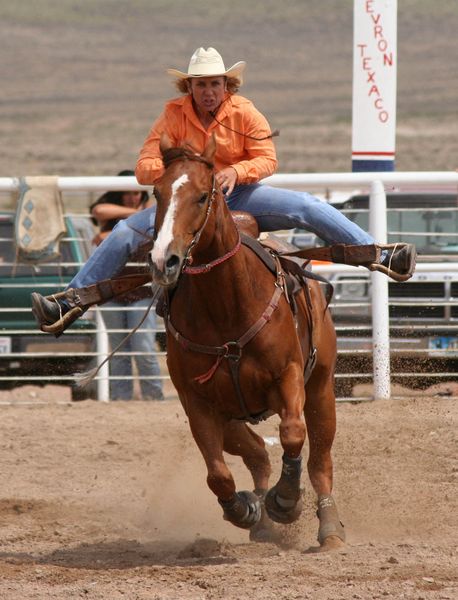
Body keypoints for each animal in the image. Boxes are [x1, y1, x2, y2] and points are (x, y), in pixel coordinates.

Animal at [149, 137, 344, 552]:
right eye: (156, 193)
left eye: (202, 195)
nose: (162, 261)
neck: (227, 306)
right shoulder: (198, 403)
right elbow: (218, 475)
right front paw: (245, 509)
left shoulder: (288, 377)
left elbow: (292, 434)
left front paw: (284, 501)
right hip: (231, 418)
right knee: (256, 455)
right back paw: (261, 520)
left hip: (321, 387)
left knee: (319, 460)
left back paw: (329, 528)